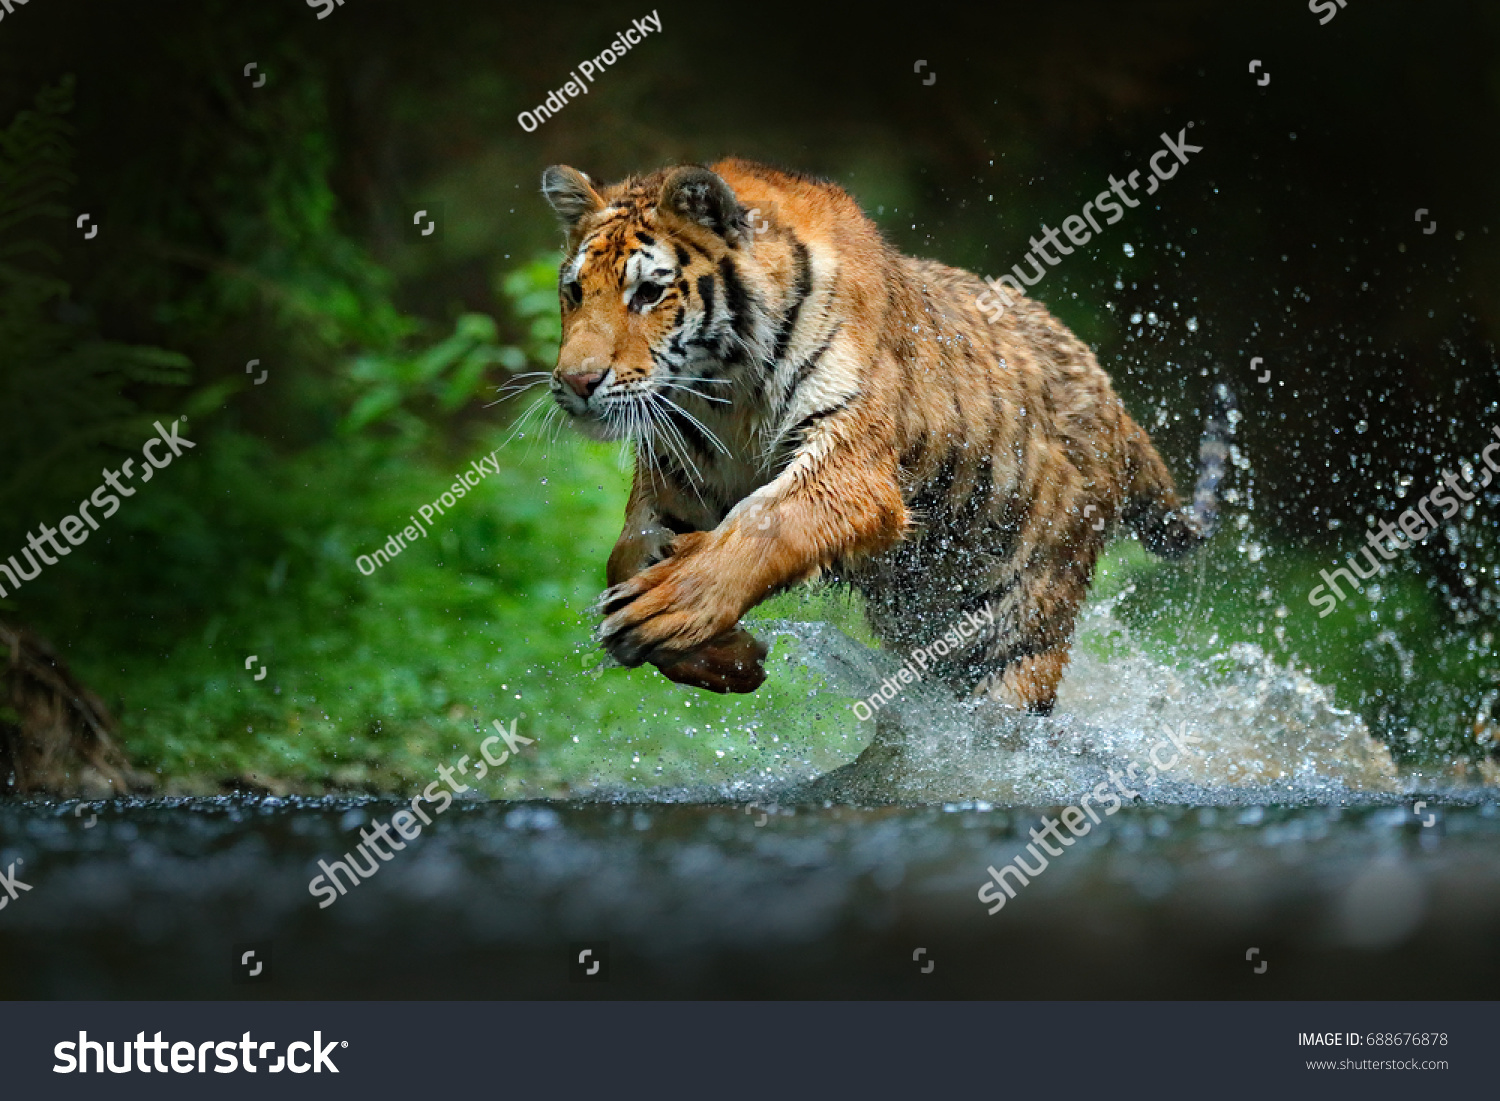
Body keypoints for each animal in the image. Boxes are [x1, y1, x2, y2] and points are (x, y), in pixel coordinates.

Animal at [539, 157, 1234, 714]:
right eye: (573, 292)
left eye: (649, 292)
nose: (576, 381)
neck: (727, 388)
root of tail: (1114, 402)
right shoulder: (683, 470)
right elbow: (626, 551)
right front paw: (723, 656)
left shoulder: (850, 463)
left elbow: (765, 525)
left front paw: (671, 607)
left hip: (1022, 627)